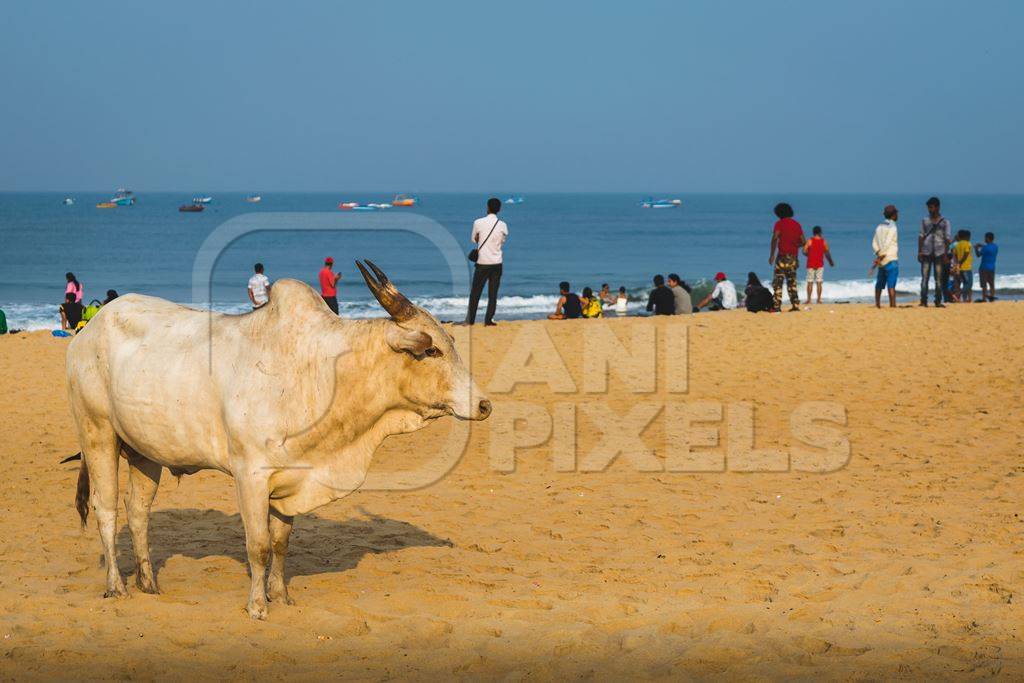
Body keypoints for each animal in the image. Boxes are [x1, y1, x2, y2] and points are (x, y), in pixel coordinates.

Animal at [67, 264, 491, 618]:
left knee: (138, 512)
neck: (323, 371)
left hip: (144, 452)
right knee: (107, 510)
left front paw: (281, 595)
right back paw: (117, 586)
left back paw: (149, 584)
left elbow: (281, 542)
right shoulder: (251, 475)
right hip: (97, 433)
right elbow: (257, 545)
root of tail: (89, 331)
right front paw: (257, 605)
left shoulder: (295, 477)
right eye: (430, 349)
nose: (483, 404)